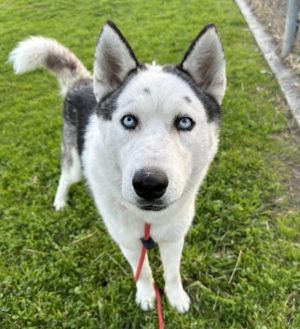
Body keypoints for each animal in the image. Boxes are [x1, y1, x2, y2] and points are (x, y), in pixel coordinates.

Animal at [9, 20, 225, 312]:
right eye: (129, 120)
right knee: (65, 177)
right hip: (75, 166)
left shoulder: (174, 238)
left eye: (184, 122)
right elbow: (143, 272)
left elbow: (172, 273)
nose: (149, 184)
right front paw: (146, 296)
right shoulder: (128, 242)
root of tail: (83, 82)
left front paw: (176, 297)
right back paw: (60, 201)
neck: (148, 221)